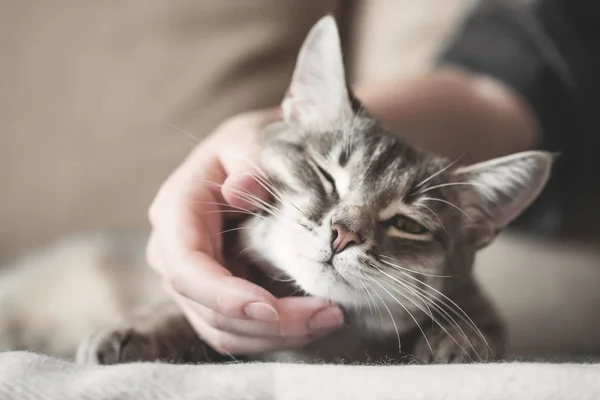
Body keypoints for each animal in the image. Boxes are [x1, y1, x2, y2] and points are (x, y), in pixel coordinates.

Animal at [2, 16, 552, 366]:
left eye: (406, 224)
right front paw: (138, 330)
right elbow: (173, 308)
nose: (343, 234)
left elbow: (479, 315)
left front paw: (461, 338)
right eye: (326, 175)